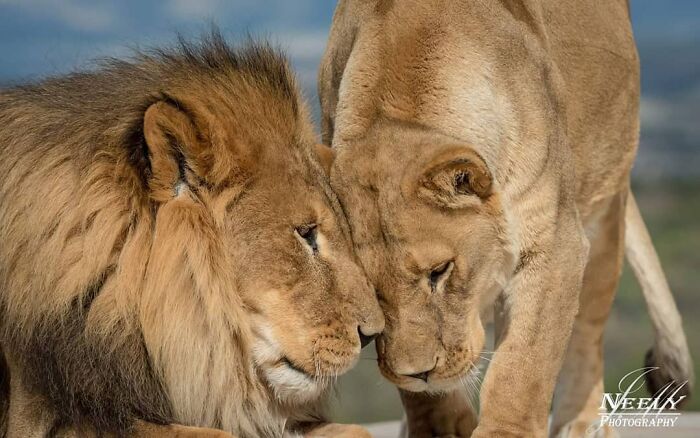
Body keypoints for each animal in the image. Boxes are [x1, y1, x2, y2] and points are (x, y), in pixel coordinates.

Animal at [318, 0, 694, 437]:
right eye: (368, 290)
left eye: (440, 271)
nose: (418, 372)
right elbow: (427, 396)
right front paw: (439, 425)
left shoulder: (555, 242)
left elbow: (523, 364)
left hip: (605, 202)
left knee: (588, 331)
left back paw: (582, 422)